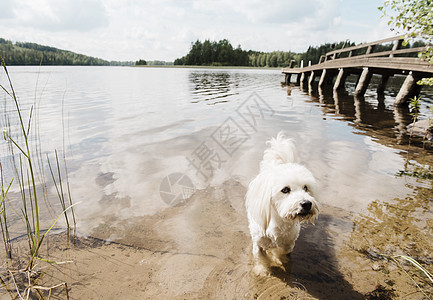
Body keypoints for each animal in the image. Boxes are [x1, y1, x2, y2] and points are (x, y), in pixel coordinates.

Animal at [245, 132, 318, 276]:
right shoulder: (259, 243)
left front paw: (278, 259)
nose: (306, 204)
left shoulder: (289, 243)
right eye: (285, 190)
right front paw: (263, 270)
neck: (278, 221)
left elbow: (282, 252)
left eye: (306, 187)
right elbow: (261, 258)